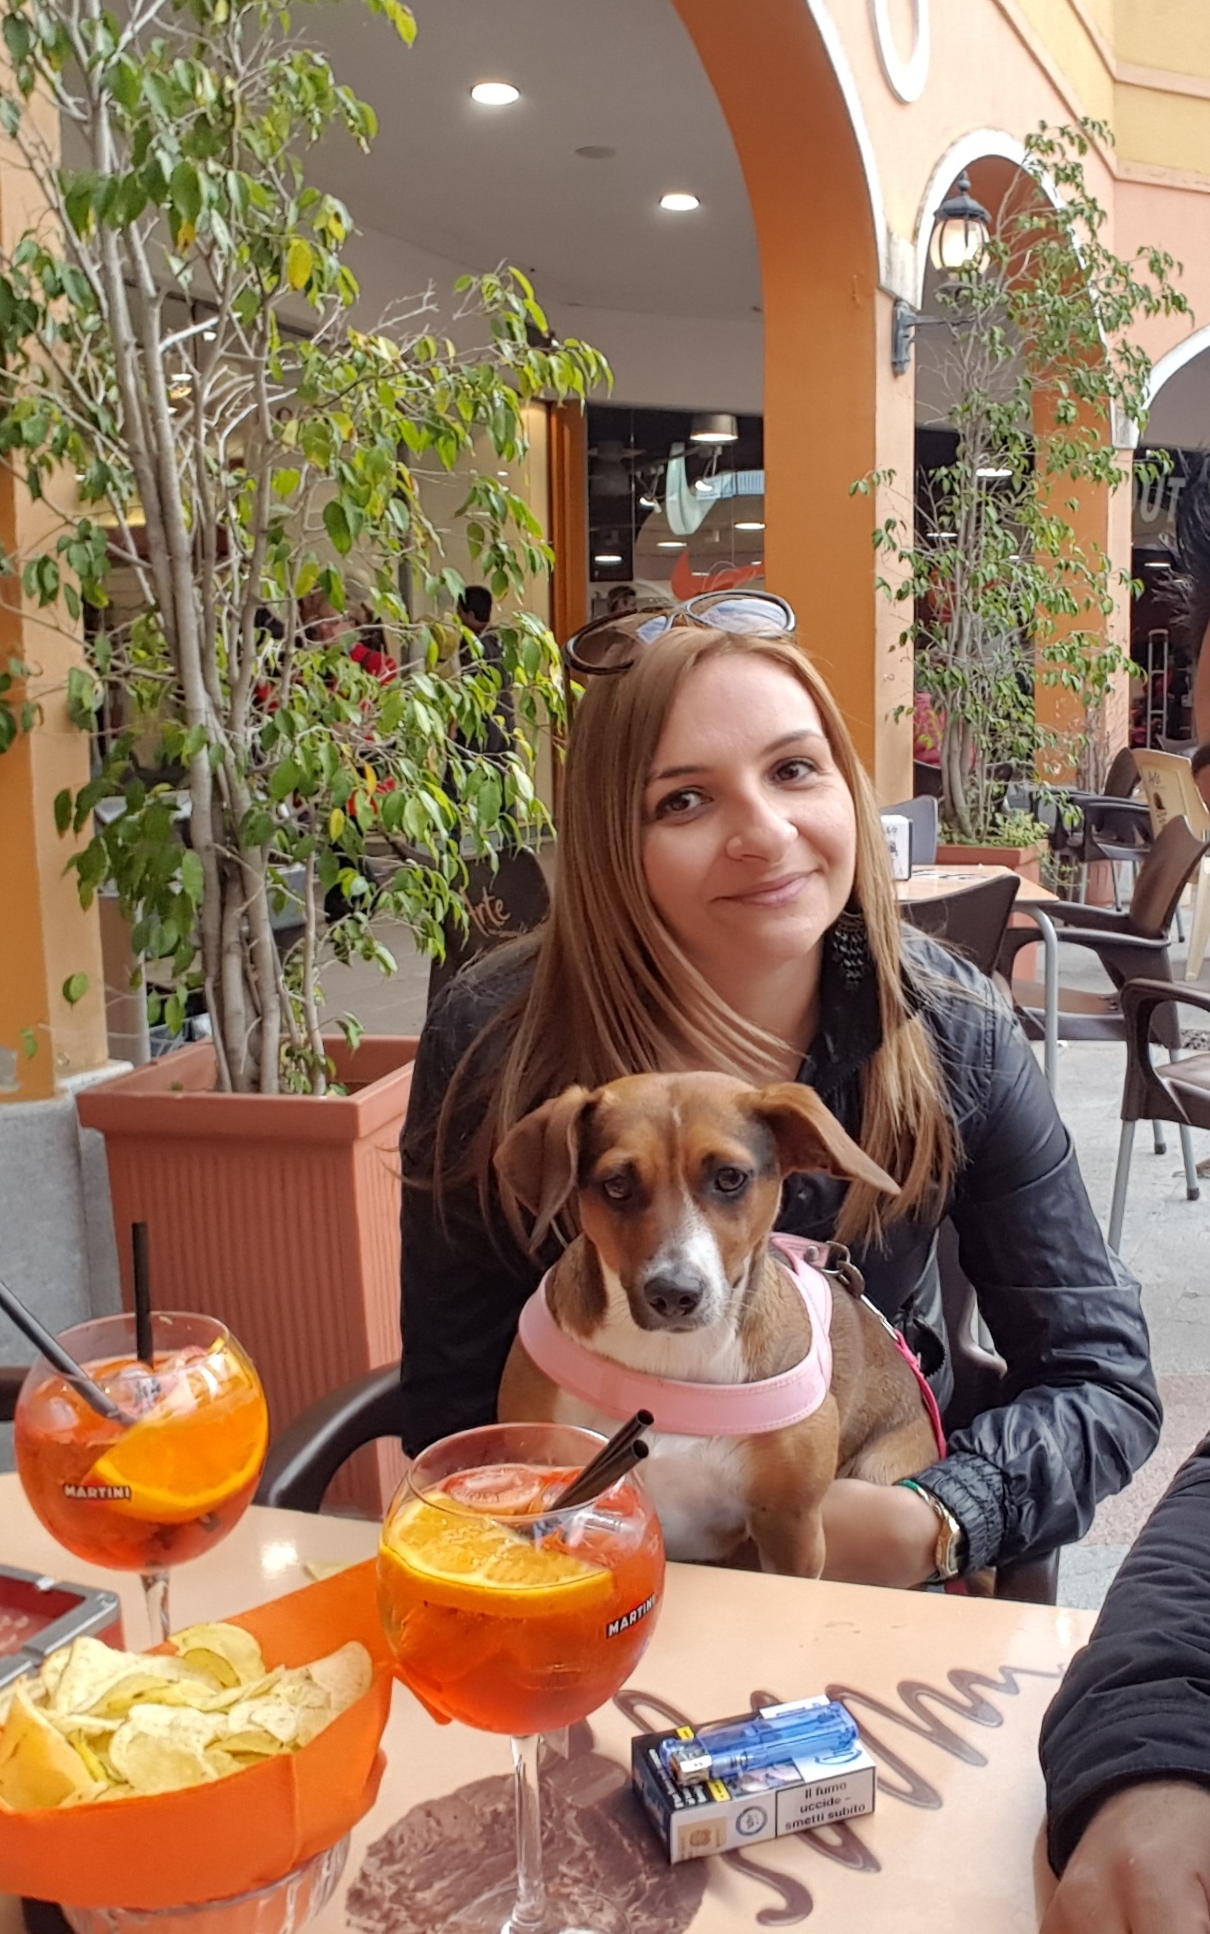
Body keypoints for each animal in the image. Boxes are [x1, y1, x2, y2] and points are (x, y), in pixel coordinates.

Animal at [494, 1071, 942, 1579]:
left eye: (729, 1178)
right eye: (617, 1184)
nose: (674, 1292)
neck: (671, 1363)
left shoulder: (791, 1528)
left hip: (876, 1465)